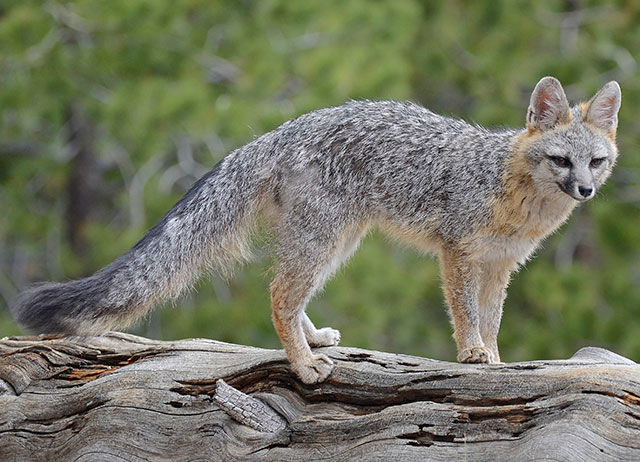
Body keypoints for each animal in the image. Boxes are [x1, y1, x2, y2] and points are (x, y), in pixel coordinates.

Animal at [13, 77, 621, 384]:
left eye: (597, 163)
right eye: (562, 161)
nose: (585, 192)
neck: (510, 189)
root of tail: (278, 132)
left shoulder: (500, 266)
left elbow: (492, 320)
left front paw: (495, 359)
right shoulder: (458, 253)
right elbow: (466, 314)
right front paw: (472, 354)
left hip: (337, 244)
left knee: (291, 294)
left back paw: (313, 342)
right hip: (325, 241)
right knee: (280, 294)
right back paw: (303, 365)